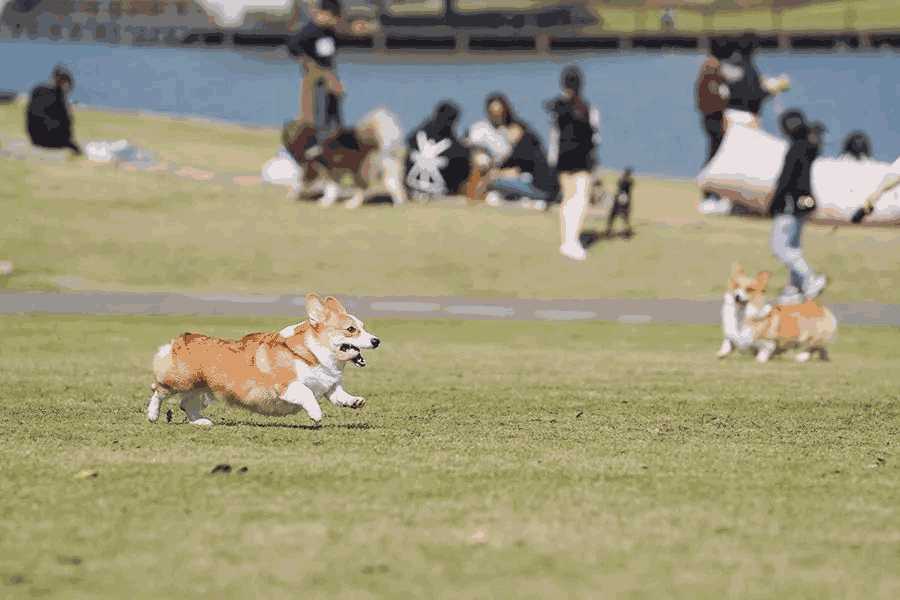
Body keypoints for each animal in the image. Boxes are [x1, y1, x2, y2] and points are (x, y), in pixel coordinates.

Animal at [148, 294, 380, 426]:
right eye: (351, 329)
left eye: (363, 327)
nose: (377, 341)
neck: (313, 351)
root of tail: (180, 339)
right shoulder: (286, 386)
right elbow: (307, 393)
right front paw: (316, 414)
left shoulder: (329, 387)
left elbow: (339, 396)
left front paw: (355, 401)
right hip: (181, 381)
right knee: (158, 390)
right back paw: (152, 415)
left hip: (201, 389)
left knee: (186, 403)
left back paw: (201, 422)